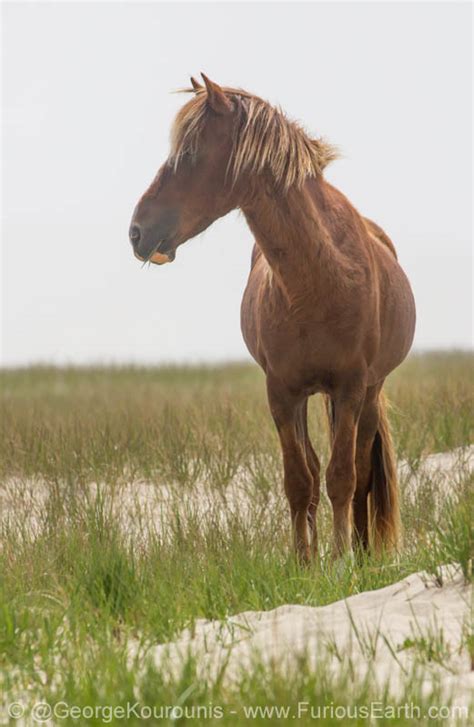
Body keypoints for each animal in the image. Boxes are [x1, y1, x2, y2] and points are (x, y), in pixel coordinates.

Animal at [129, 75, 414, 564]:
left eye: (191, 153)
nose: (137, 232)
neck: (317, 281)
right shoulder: (281, 392)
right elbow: (299, 480)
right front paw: (304, 562)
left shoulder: (351, 387)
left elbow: (344, 476)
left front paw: (342, 560)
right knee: (315, 470)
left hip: (370, 393)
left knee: (359, 471)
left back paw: (362, 551)